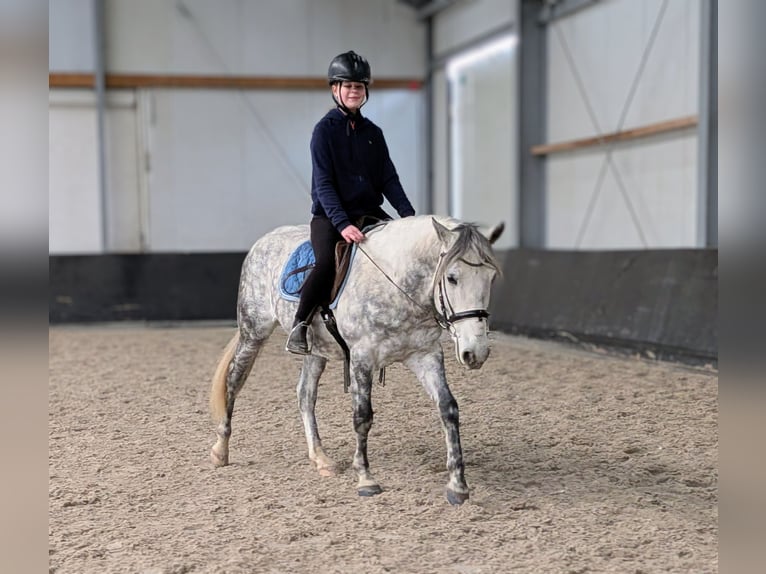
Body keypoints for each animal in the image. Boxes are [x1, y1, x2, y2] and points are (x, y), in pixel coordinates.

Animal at [209, 215, 504, 505]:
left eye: (491, 278)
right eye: (452, 278)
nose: (475, 353)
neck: (396, 283)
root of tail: (266, 239)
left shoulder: (425, 354)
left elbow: (448, 408)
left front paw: (458, 486)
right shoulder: (362, 356)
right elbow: (362, 417)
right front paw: (366, 479)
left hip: (316, 350)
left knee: (305, 394)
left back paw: (321, 459)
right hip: (253, 331)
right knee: (234, 381)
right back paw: (220, 451)